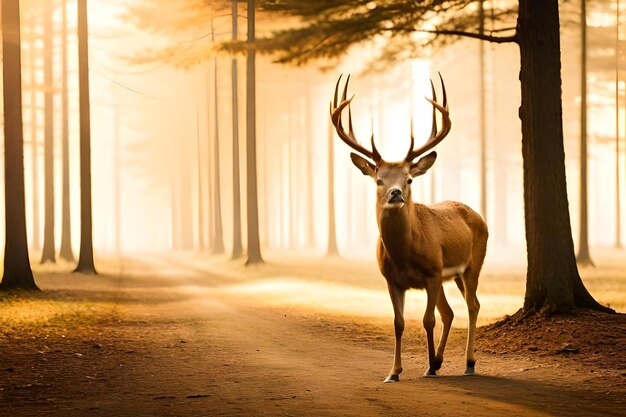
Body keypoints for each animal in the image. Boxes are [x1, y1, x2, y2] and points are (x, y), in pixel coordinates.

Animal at [330, 74, 486, 380]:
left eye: (409, 179)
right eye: (379, 179)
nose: (395, 193)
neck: (405, 254)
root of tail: (477, 214)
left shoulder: (433, 272)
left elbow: (427, 320)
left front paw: (429, 368)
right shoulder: (392, 280)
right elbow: (399, 323)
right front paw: (394, 371)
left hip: (472, 263)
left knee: (472, 305)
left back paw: (469, 363)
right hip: (450, 275)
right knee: (451, 311)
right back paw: (440, 359)